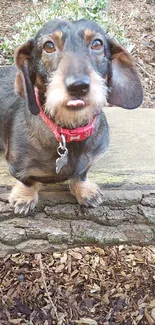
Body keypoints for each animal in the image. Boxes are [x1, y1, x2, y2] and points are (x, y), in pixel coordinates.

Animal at [0, 19, 143, 214]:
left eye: (97, 43)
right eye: (49, 46)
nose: (78, 86)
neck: (68, 131)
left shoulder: (87, 163)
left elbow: (80, 175)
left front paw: (85, 191)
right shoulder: (17, 167)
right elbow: (28, 181)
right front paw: (24, 198)